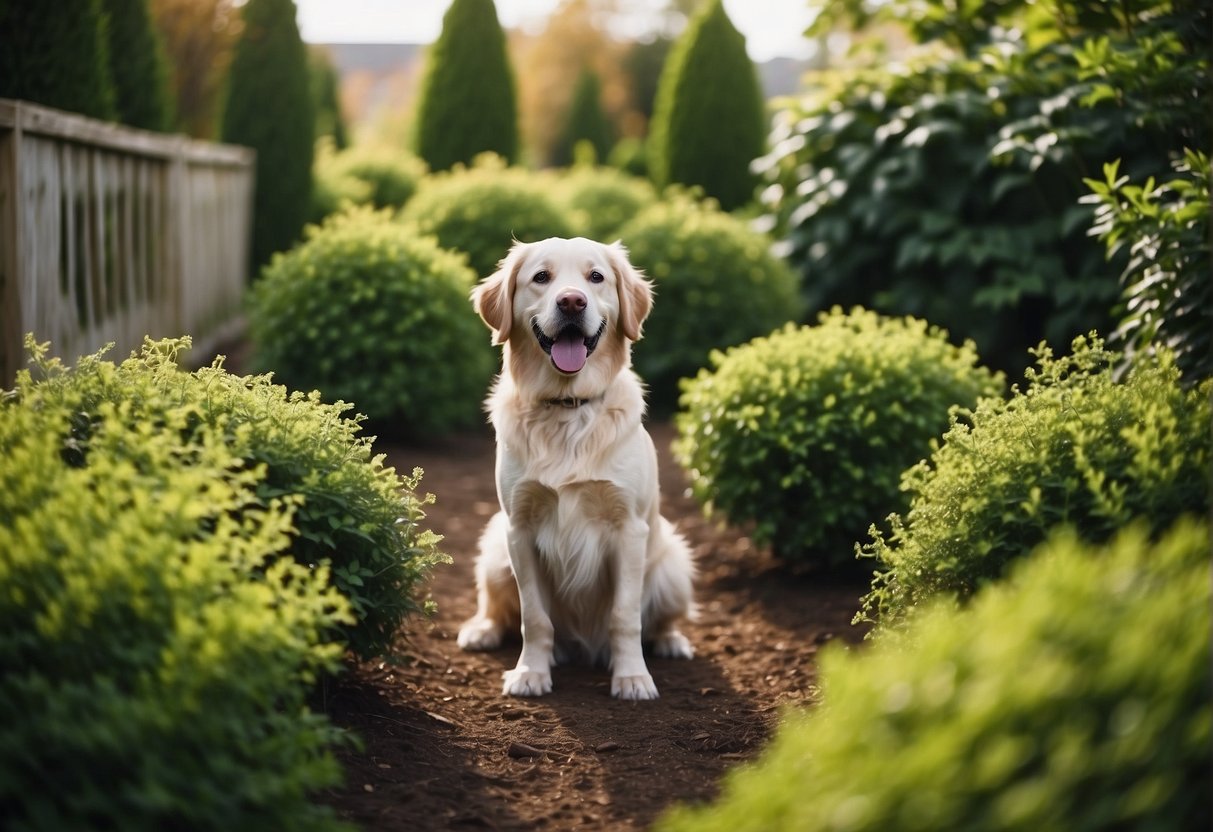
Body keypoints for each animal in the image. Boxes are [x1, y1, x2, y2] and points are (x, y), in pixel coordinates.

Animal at [458, 237, 698, 698]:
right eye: (541, 277)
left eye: (596, 277)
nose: (572, 301)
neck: (568, 406)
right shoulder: (519, 527)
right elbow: (533, 618)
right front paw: (530, 672)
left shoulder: (628, 529)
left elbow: (625, 617)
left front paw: (632, 677)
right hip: (494, 548)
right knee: (497, 608)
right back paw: (482, 630)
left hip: (673, 564)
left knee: (661, 619)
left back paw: (671, 641)